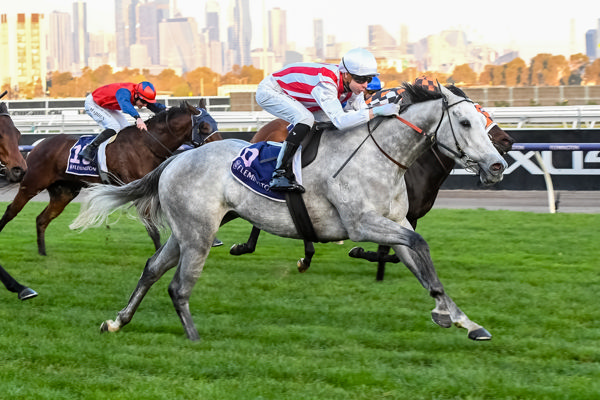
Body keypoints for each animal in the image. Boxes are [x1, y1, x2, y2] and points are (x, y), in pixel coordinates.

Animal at [0, 101, 220, 256]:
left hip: (64, 193)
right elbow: (152, 228)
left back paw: (43, 253)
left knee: (42, 219)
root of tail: (37, 146)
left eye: (215, 124)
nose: (220, 146)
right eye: (205, 127)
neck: (148, 144)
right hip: (32, 184)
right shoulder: (137, 189)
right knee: (11, 211)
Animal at [72, 83, 508, 342]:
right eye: (465, 122)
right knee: (178, 286)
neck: (382, 155)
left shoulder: (395, 222)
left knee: (151, 269)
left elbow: (421, 261)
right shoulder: (363, 225)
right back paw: (194, 338)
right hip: (197, 234)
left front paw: (461, 319)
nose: (497, 165)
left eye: (485, 121)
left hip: (187, 232)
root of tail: (177, 159)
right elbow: (418, 245)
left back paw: (118, 320)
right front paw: (445, 313)